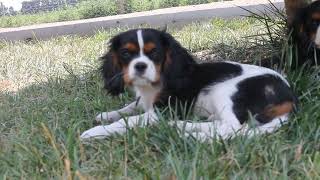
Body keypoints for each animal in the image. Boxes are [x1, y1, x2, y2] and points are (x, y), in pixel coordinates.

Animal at [81, 28, 296, 141]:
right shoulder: (144, 102)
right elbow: (128, 108)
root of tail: (289, 98)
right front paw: (106, 115)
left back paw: (183, 130)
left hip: (225, 91)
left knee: (232, 128)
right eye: (126, 53)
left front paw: (95, 132)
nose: (140, 66)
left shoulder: (163, 110)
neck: (150, 86)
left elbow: (130, 120)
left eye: (155, 52)